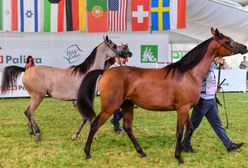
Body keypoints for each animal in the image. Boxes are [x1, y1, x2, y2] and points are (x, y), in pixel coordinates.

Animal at [0, 36, 133, 141]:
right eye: (114, 46)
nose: (128, 54)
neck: (87, 74)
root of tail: (27, 70)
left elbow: (86, 117)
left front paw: (77, 135)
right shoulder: (84, 99)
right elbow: (88, 116)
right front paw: (89, 136)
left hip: (34, 97)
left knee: (27, 112)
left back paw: (31, 132)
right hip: (38, 96)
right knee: (30, 112)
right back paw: (37, 133)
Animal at [76, 27, 247, 164]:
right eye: (228, 41)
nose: (244, 47)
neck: (188, 74)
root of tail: (106, 71)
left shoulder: (186, 109)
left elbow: (190, 128)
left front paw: (183, 149)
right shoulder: (182, 109)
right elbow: (179, 132)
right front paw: (179, 157)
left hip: (127, 105)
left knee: (128, 127)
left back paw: (142, 152)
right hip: (110, 106)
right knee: (95, 124)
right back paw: (87, 153)